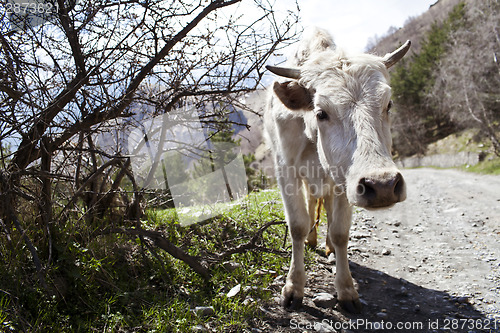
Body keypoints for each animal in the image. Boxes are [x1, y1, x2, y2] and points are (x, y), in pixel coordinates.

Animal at [264, 27, 408, 312]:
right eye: (321, 112)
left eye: (388, 105)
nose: (383, 185)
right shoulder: (285, 169)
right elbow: (297, 225)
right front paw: (293, 287)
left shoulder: (346, 179)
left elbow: (341, 231)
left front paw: (346, 290)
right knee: (311, 207)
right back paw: (312, 239)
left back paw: (327, 244)